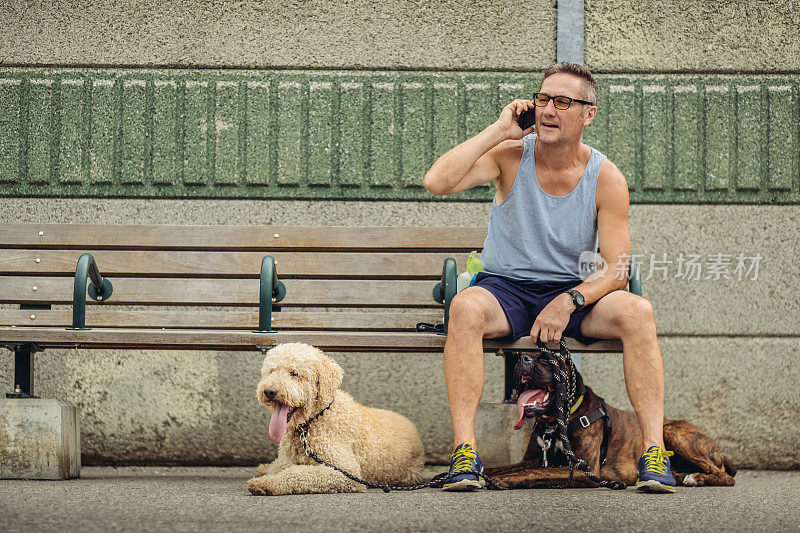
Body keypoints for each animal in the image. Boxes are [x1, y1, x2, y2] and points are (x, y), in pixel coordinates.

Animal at [248, 342, 424, 492]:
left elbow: (298, 473)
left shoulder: (346, 471)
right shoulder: (289, 458)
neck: (315, 419)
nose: (269, 391)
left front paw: (267, 484)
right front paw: (267, 472)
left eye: (294, 373)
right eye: (271, 371)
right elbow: (279, 465)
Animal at [482, 352, 736, 488]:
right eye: (520, 355)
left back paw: (697, 479)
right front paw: (485, 474)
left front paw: (503, 481)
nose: (521, 359)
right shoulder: (533, 459)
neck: (555, 421)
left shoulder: (581, 468)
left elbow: (532, 474)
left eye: (546, 360)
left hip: (672, 432)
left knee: (725, 476)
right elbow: (500, 467)